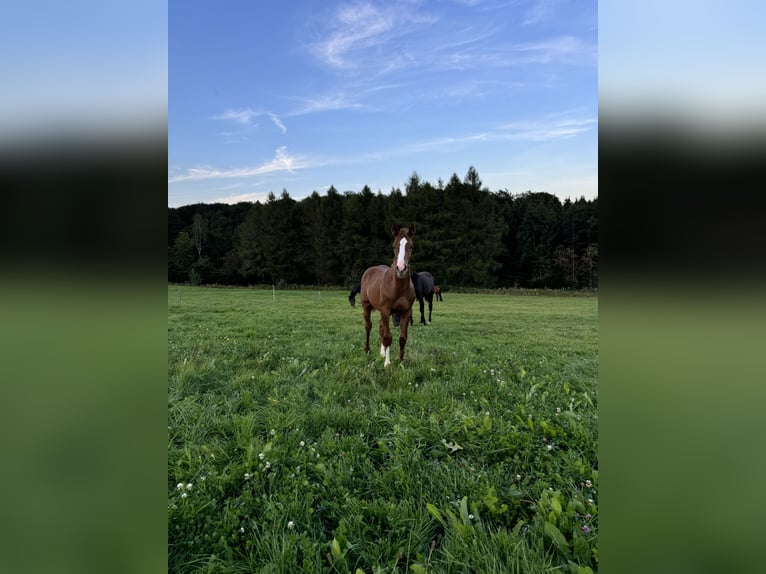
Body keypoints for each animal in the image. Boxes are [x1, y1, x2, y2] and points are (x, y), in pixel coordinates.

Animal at [362, 225, 416, 368]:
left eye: (411, 246)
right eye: (393, 246)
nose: (401, 269)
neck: (398, 287)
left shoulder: (406, 311)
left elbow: (402, 338)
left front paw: (400, 361)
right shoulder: (386, 310)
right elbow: (388, 337)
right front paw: (387, 363)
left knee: (381, 327)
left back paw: (381, 353)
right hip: (366, 306)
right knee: (368, 326)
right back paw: (367, 350)